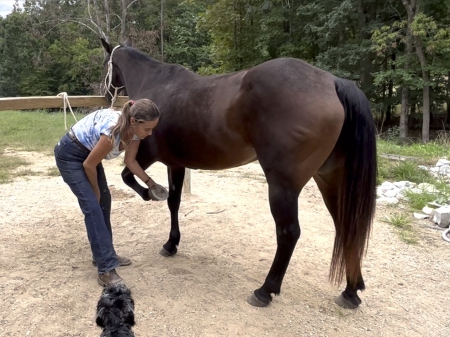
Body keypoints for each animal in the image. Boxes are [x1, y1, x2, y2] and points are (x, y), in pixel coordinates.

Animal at [101, 36, 376, 308]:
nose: (105, 95)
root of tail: (332, 82)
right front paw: (171, 243)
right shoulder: (175, 164)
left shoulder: (147, 155)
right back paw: (351, 291)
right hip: (329, 179)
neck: (156, 81)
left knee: (289, 232)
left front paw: (150, 194)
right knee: (346, 226)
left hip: (283, 186)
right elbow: (174, 202)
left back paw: (265, 291)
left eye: (106, 64)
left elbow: (128, 177)